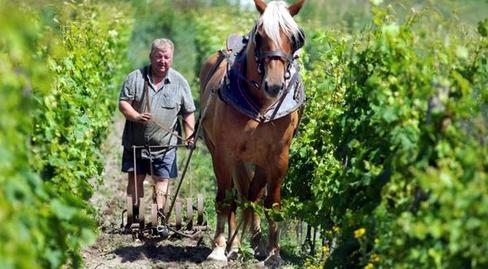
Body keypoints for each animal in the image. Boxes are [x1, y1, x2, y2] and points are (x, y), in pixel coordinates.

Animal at [198, 0, 304, 264]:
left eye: (294, 38)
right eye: (260, 35)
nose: (274, 86)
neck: (261, 107)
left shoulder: (278, 157)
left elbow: (271, 204)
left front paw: (274, 254)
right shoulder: (224, 154)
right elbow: (226, 199)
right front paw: (218, 249)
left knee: (252, 196)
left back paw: (255, 244)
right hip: (227, 155)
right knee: (238, 196)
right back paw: (233, 245)